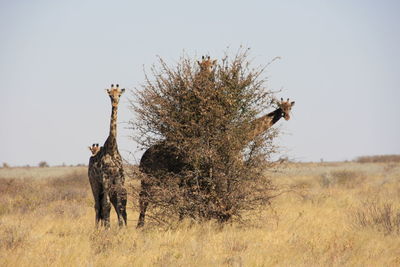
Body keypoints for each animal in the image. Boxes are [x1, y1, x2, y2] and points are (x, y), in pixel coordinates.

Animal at [88, 84, 127, 228]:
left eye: (119, 94)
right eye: (110, 95)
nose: (115, 103)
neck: (112, 148)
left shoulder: (119, 178)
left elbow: (119, 205)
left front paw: (121, 228)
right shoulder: (104, 178)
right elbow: (106, 205)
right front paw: (108, 228)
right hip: (94, 183)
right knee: (97, 205)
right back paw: (97, 228)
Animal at [136, 95, 296, 227]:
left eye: (290, 107)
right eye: (281, 107)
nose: (287, 116)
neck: (237, 140)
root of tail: (144, 156)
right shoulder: (218, 173)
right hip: (150, 176)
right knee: (144, 198)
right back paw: (140, 225)